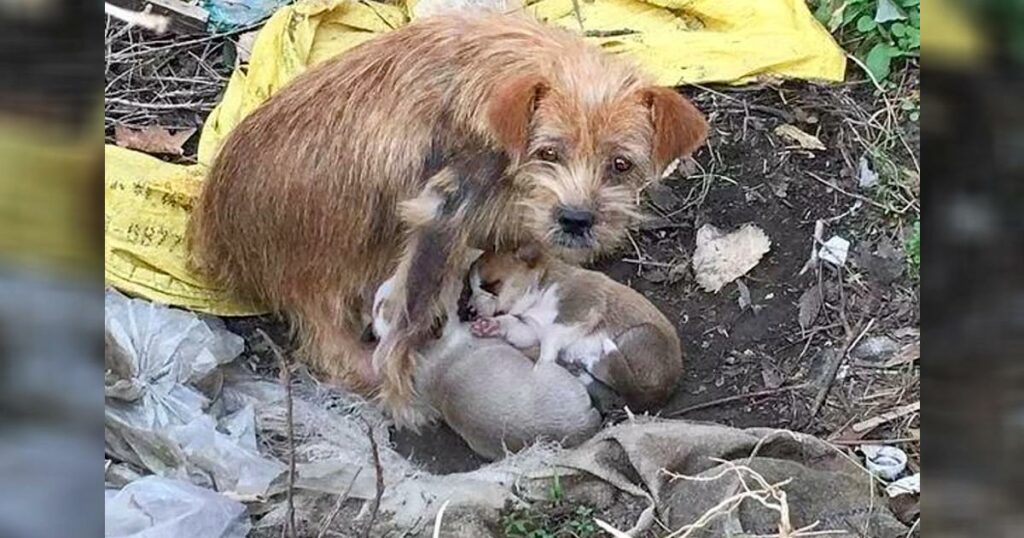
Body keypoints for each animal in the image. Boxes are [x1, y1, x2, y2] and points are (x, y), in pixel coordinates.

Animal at [468, 246, 684, 411]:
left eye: (491, 286)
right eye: (471, 289)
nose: (469, 310)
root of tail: (664, 390)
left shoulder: (579, 312)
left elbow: (550, 341)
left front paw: (543, 369)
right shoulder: (532, 329)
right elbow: (514, 325)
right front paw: (490, 325)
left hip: (639, 334)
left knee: (617, 381)